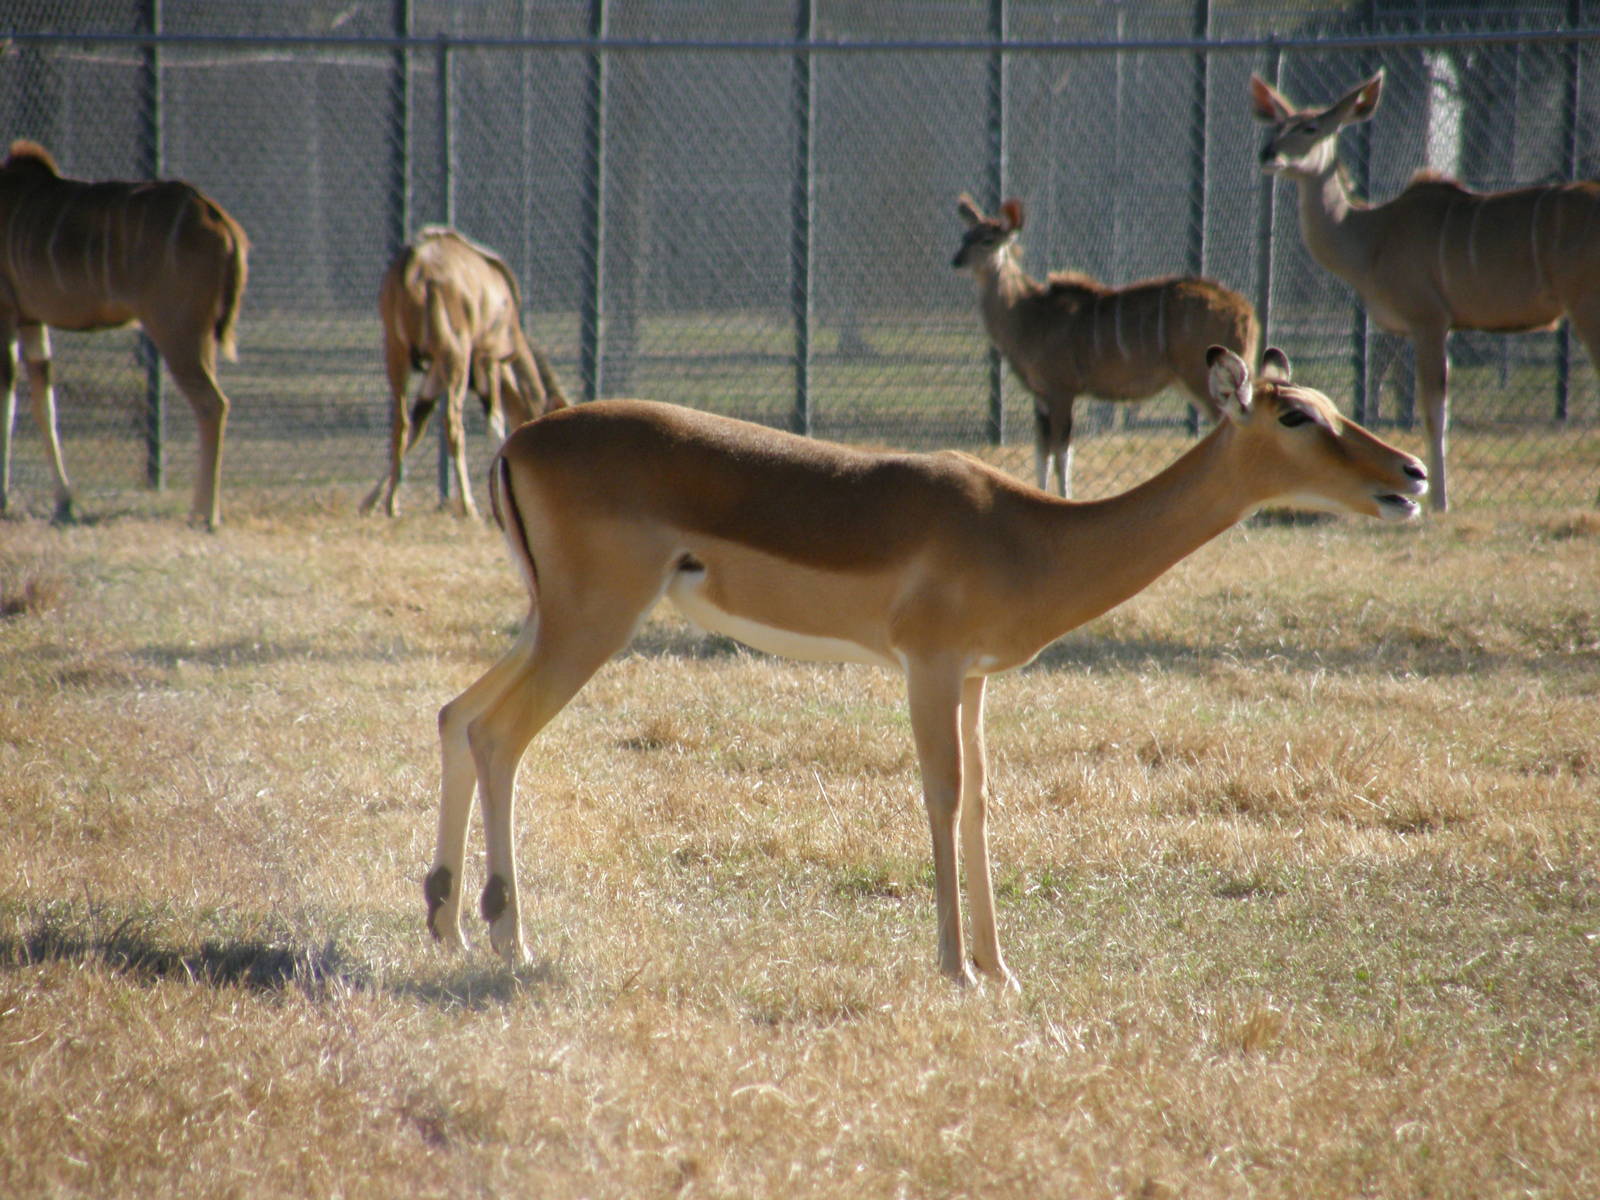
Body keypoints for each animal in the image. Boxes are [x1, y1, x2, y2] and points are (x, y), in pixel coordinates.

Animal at [0, 140, 248, 529]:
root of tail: (218, 218)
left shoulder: (6, 313)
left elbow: (7, 406)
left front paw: (5, 499)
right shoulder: (31, 320)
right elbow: (45, 406)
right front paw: (64, 503)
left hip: (175, 329)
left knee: (212, 403)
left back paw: (204, 517)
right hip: (200, 334)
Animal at [361, 226, 568, 520]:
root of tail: (416, 262)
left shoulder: (435, 372)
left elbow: (417, 427)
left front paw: (371, 502)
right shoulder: (489, 359)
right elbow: (495, 421)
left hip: (397, 352)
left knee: (402, 423)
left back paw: (392, 504)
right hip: (456, 354)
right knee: (453, 423)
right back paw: (469, 506)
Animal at [424, 346, 1427, 989]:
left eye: (1330, 403)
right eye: (1294, 413)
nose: (1412, 475)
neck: (1031, 534)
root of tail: (517, 444)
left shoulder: (975, 678)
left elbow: (981, 800)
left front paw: (1002, 969)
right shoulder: (929, 666)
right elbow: (940, 796)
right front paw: (957, 971)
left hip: (547, 620)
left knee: (454, 714)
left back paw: (445, 924)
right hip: (589, 624)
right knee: (499, 734)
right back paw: (508, 940)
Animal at [953, 194, 1260, 498]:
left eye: (987, 240)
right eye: (965, 236)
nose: (956, 260)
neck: (1028, 314)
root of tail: (1246, 313)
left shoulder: (1061, 391)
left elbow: (1062, 456)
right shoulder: (1041, 396)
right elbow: (1043, 455)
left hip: (1203, 380)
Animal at [1252, 68, 1600, 512]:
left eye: (1310, 128)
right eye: (1276, 126)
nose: (1268, 154)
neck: (1370, 235)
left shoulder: (1429, 321)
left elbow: (1433, 409)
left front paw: (1438, 501)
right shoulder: (1405, 328)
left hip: (1587, 305)